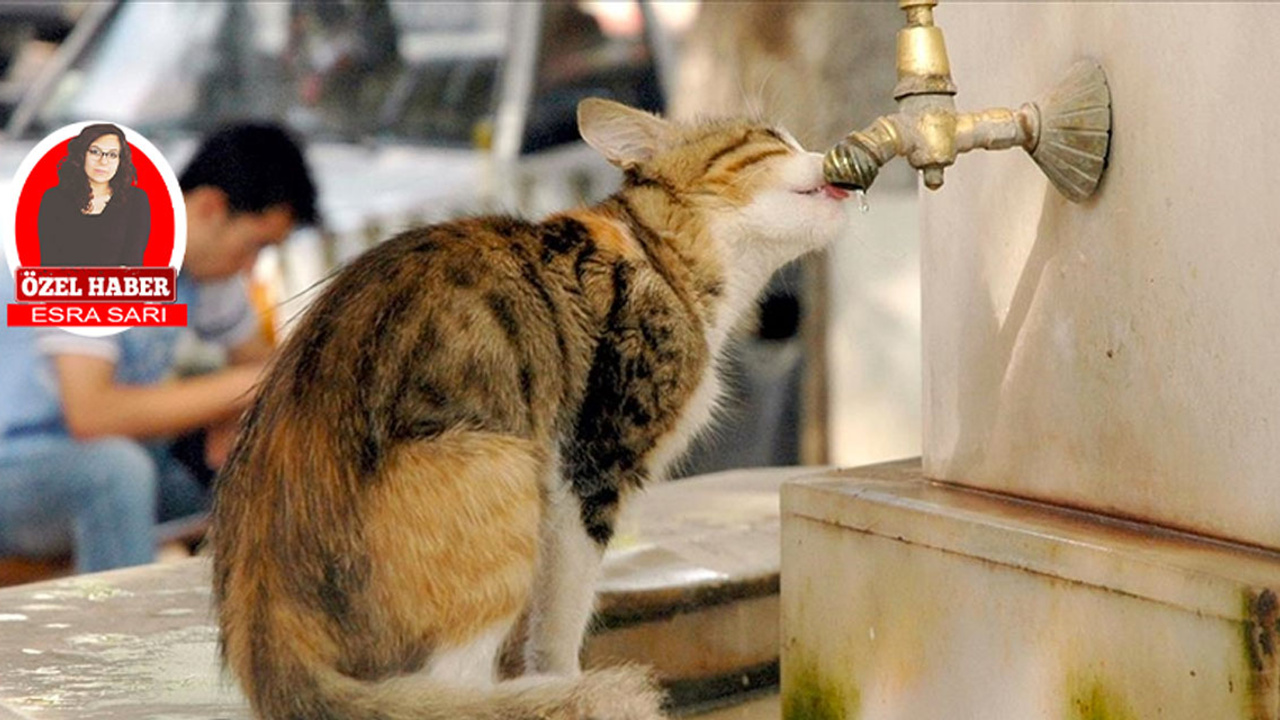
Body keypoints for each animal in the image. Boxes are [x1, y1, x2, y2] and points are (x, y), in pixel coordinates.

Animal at [212, 96, 849, 717]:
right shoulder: (588, 469)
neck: (665, 260)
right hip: (504, 464)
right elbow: (563, 614)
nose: (830, 152)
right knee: (454, 688)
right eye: (772, 139)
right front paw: (565, 682)